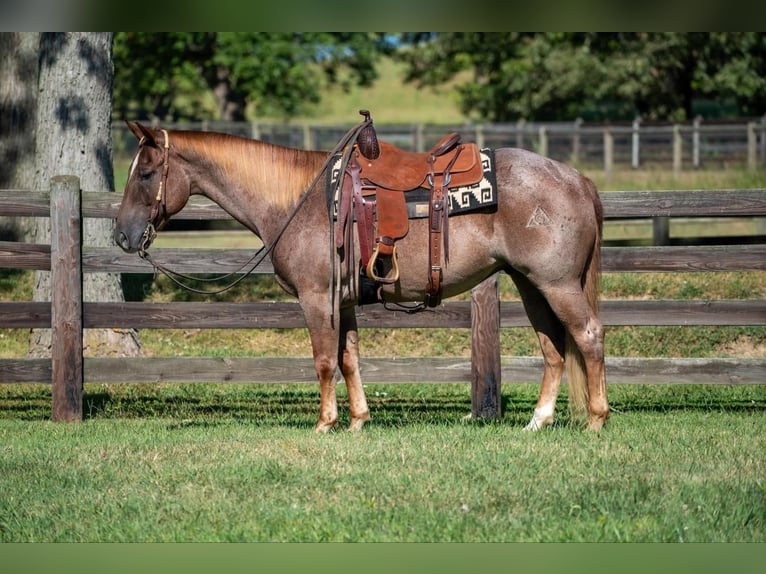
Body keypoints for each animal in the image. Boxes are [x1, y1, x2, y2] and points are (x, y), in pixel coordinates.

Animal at [115, 122, 612, 436]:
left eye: (146, 173)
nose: (123, 235)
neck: (300, 199)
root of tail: (577, 178)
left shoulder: (317, 298)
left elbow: (323, 360)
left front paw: (325, 422)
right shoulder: (347, 301)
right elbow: (350, 358)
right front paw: (357, 420)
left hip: (557, 284)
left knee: (587, 336)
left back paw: (595, 419)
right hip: (531, 285)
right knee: (553, 347)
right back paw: (538, 421)